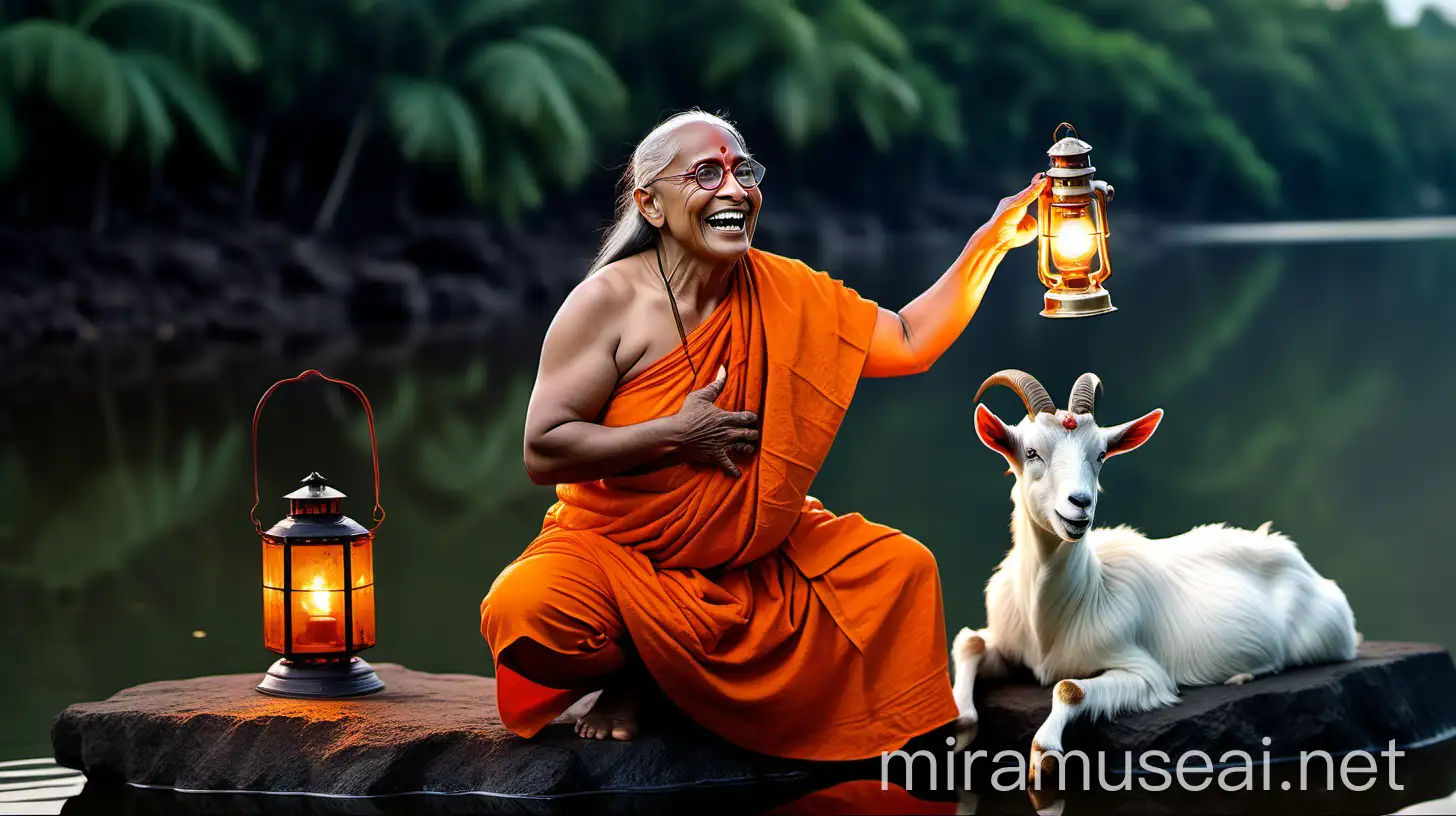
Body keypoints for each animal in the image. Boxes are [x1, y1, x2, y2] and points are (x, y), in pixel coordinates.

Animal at [949, 371, 1356, 786]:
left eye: (1100, 455)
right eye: (1031, 452)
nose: (1080, 504)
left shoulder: (1144, 672)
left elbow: (1069, 687)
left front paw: (1044, 753)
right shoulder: (1011, 642)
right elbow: (970, 642)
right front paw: (962, 722)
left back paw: (1241, 675)